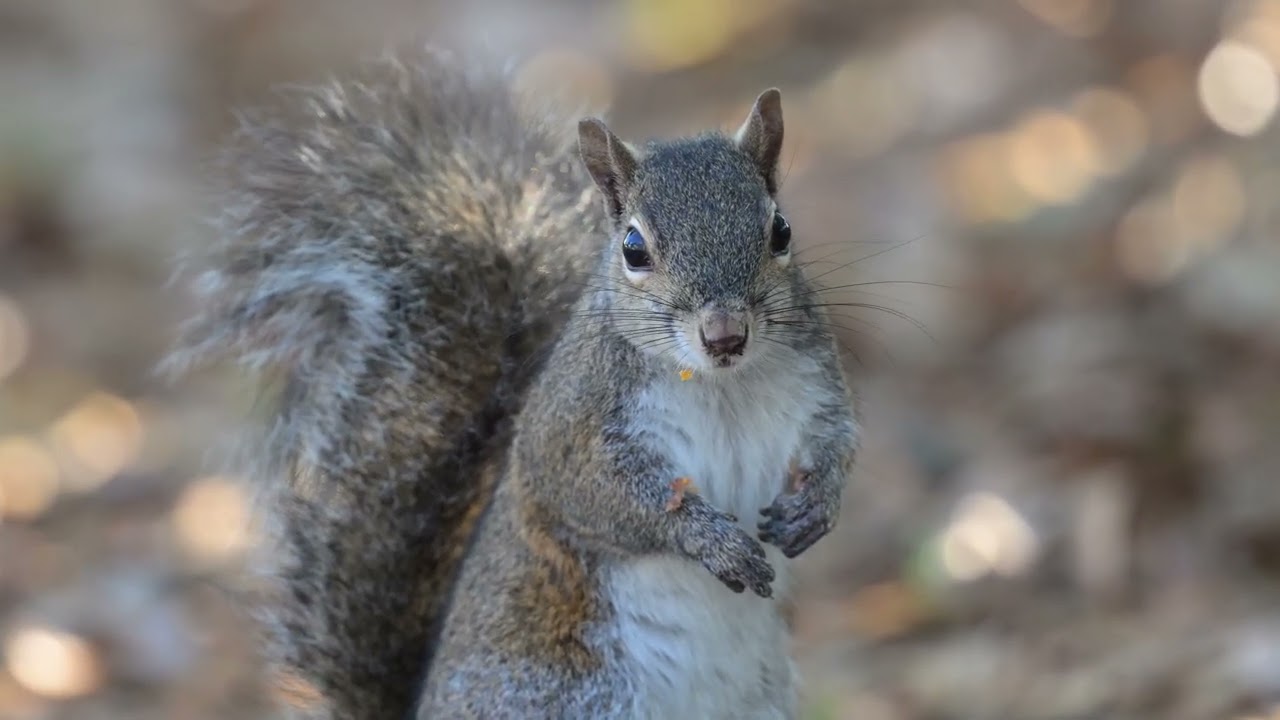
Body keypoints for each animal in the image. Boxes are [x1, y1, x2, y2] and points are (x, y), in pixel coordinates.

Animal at [166, 49, 859, 719]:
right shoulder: (572, 422)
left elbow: (841, 444)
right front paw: (709, 539)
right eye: (633, 248)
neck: (723, 385)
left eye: (781, 230)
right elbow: (598, 494)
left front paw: (818, 503)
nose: (725, 334)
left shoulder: (818, 386)